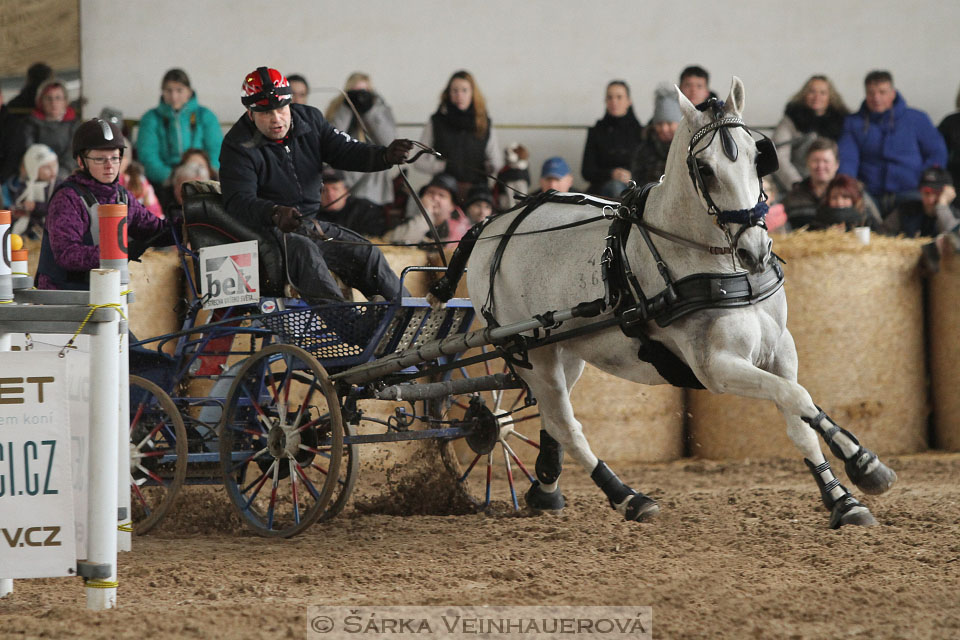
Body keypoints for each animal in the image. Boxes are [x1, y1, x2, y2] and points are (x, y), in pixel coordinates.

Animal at [456, 79, 892, 528]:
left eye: (758, 156)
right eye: (705, 169)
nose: (756, 251)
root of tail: (494, 225)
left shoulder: (780, 348)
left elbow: (799, 415)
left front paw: (846, 493)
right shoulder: (715, 367)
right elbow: (796, 397)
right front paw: (863, 466)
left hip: (565, 351)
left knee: (550, 418)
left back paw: (546, 488)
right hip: (533, 355)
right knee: (565, 423)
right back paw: (627, 497)